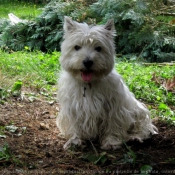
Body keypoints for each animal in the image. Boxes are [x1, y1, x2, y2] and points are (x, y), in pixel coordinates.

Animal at [56, 16, 157, 150]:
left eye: (98, 48)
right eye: (77, 47)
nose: (87, 62)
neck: (88, 84)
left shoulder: (114, 108)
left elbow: (113, 126)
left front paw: (111, 142)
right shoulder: (72, 108)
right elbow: (74, 125)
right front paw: (74, 141)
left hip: (139, 111)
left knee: (143, 128)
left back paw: (135, 137)